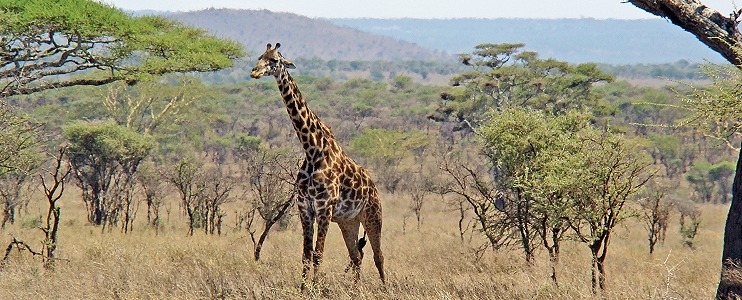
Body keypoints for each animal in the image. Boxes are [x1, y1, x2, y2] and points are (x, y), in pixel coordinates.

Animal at [251, 43, 390, 288]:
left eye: (274, 60)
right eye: (260, 57)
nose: (254, 71)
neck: (312, 149)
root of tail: (373, 186)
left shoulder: (324, 207)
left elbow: (318, 254)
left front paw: (315, 289)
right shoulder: (305, 207)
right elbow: (306, 254)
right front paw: (303, 289)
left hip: (373, 215)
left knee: (378, 255)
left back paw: (384, 289)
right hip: (348, 221)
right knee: (356, 255)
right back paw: (356, 290)